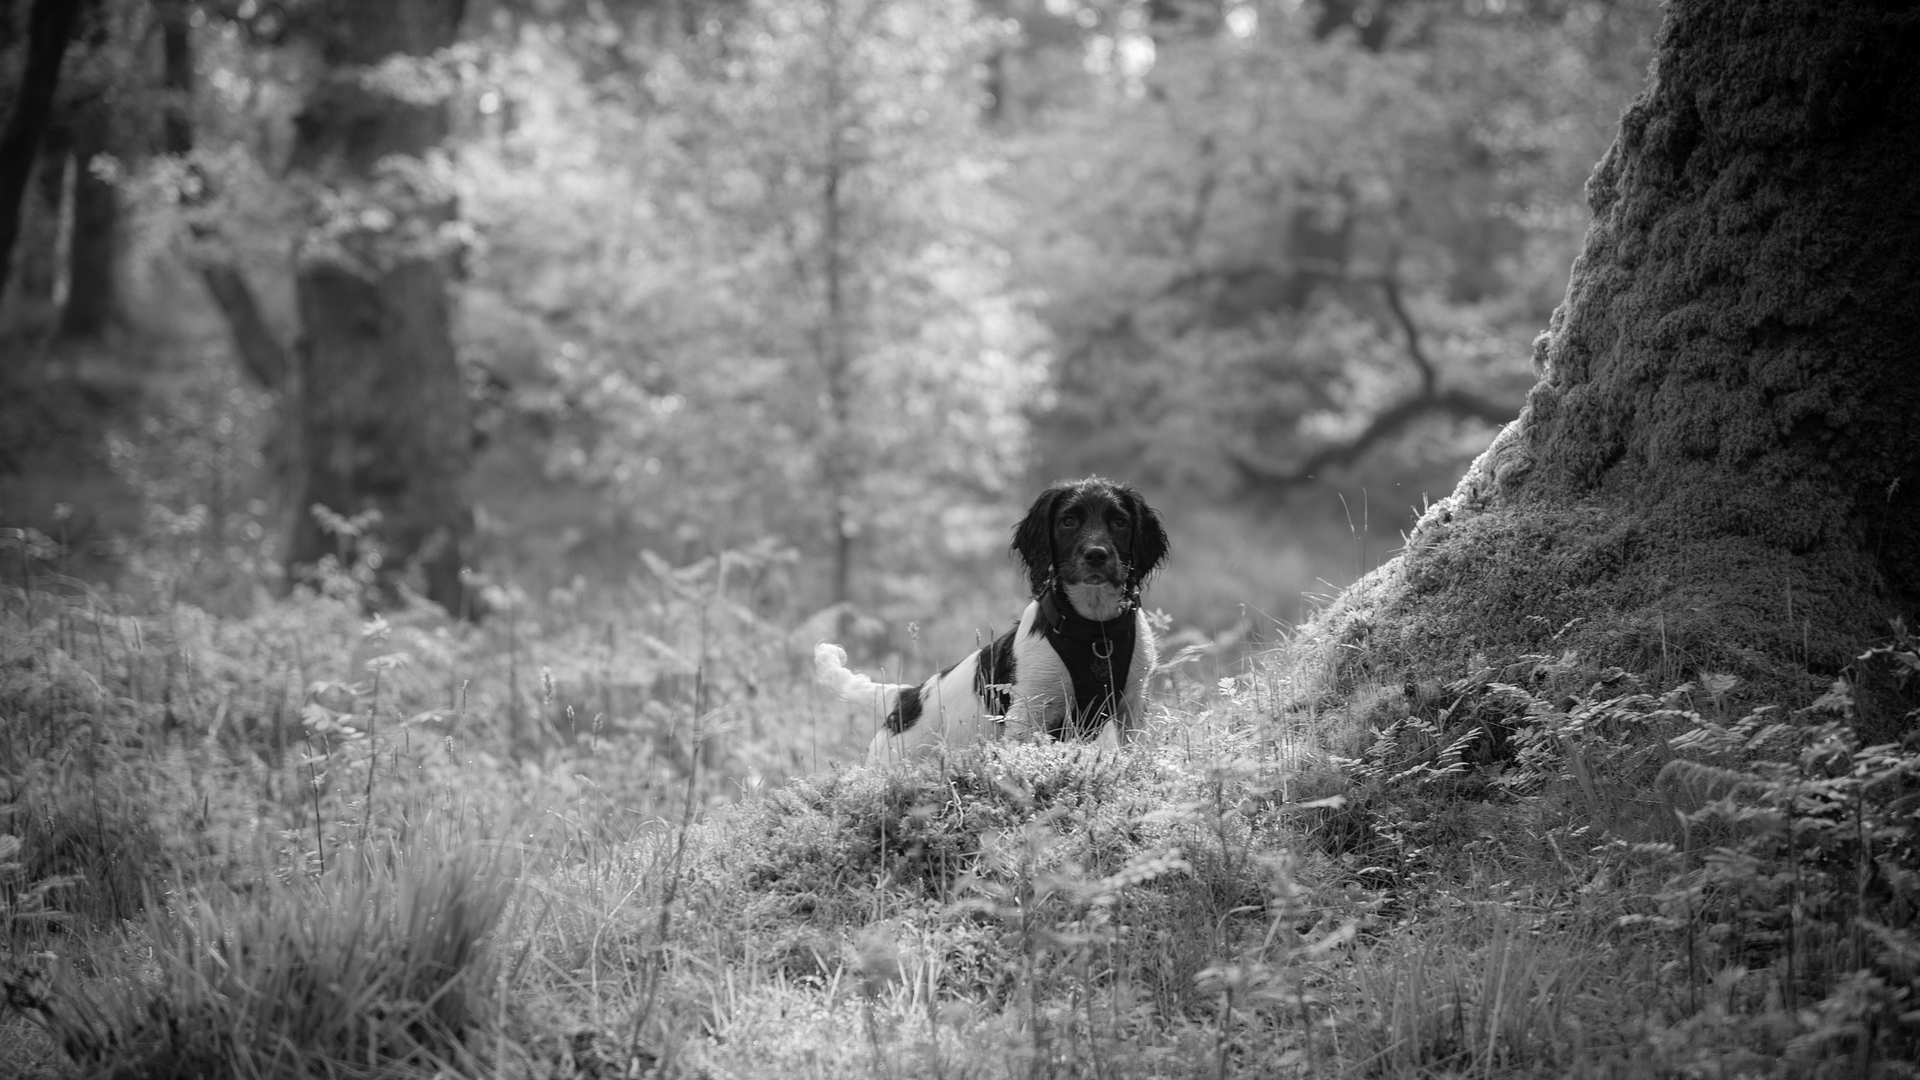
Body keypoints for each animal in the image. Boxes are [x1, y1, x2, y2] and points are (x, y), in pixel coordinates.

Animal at [814, 474, 1167, 760]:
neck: (1095, 631)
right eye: (1068, 521)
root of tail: (907, 695)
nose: (1096, 555)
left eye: (1119, 522)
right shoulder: (1029, 711)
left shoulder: (1134, 704)